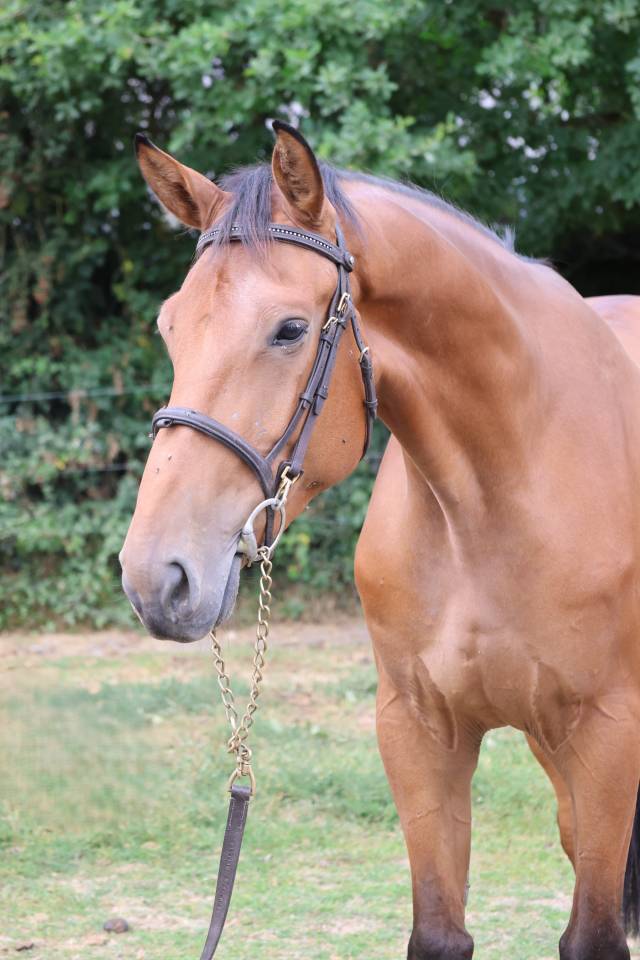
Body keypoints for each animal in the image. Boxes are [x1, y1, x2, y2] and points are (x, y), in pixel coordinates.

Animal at [120, 121, 640, 960]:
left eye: (290, 329)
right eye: (171, 326)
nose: (154, 576)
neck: (496, 496)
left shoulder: (608, 736)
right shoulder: (418, 732)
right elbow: (438, 931)